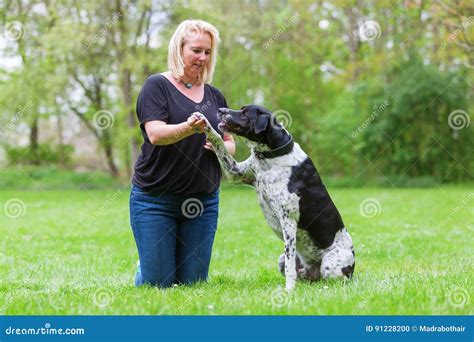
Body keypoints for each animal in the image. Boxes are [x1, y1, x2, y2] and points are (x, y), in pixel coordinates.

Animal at [192, 105, 352, 290]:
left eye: (245, 113)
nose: (221, 109)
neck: (272, 156)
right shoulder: (236, 173)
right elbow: (219, 141)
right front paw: (203, 122)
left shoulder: (288, 221)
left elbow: (290, 267)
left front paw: (288, 291)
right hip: (282, 260)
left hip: (331, 262)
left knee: (334, 280)